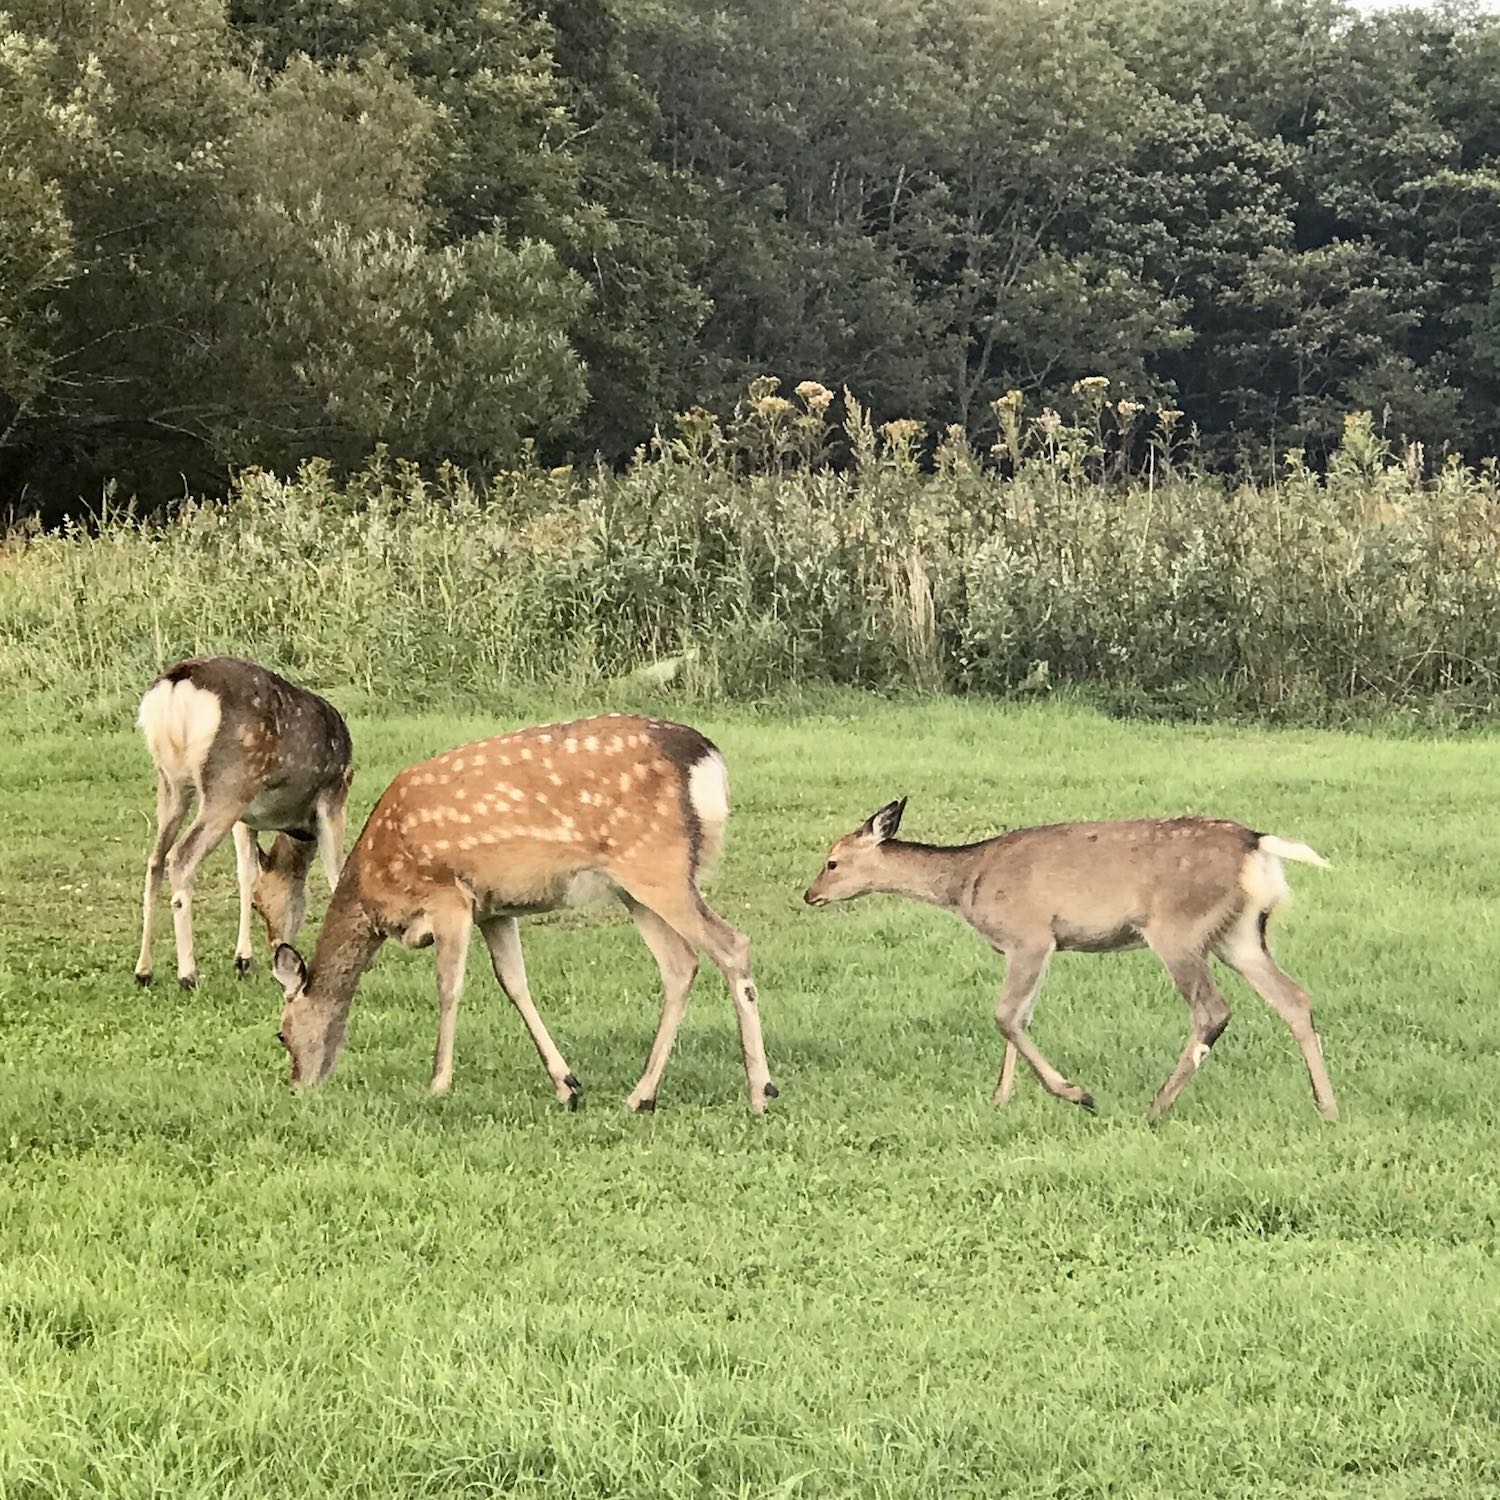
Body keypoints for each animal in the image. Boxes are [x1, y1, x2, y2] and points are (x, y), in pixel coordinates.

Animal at [132, 660, 354, 990]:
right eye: (259, 906)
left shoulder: (246, 817)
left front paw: (242, 959)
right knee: (181, 857)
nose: (277, 944)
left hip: (172, 782)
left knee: (155, 860)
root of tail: (175, 684)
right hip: (229, 783)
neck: (298, 825)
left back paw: (144, 971)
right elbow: (337, 874)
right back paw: (188, 975)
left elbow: (246, 872)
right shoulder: (333, 795)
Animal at [268, 714, 780, 1116]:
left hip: (658, 863)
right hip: (634, 885)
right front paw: (567, 1086)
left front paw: (438, 1084)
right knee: (681, 963)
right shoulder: (494, 908)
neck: (376, 884)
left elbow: (449, 987)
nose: (297, 1087)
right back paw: (642, 1096)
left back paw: (760, 1091)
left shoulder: (448, 895)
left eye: (281, 1035)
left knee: (732, 944)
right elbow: (514, 983)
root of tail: (707, 760)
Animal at [804, 804, 1344, 1122]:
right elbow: (1019, 1018)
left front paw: (1075, 1093)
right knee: (1294, 998)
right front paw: (1000, 1099)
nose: (810, 894)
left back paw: (1156, 1107)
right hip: (1240, 933)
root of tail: (1258, 843)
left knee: (1212, 1009)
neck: (965, 885)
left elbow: (1004, 1016)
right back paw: (1328, 1105)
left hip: (1178, 929)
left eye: (832, 861)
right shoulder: (1028, 946)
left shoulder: (1030, 935)